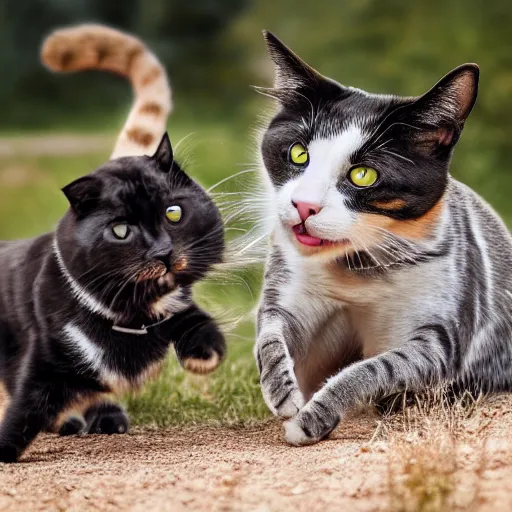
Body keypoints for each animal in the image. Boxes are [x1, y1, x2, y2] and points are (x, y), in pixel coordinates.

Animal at [0, 134, 224, 462]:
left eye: (173, 212)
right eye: (120, 230)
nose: (163, 252)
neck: (131, 313)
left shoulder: (176, 306)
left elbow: (196, 320)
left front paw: (204, 356)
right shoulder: (47, 348)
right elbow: (27, 405)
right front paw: (4, 448)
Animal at [255, 32, 512, 446]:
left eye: (363, 175)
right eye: (298, 153)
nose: (304, 205)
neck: (359, 267)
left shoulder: (438, 341)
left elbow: (372, 369)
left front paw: (311, 419)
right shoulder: (290, 295)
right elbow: (270, 334)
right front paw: (283, 393)